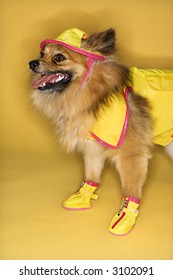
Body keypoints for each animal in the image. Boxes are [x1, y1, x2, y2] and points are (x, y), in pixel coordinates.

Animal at [29, 28, 172, 235]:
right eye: (41, 54)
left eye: (59, 57)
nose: (32, 63)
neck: (91, 91)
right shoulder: (93, 146)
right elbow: (91, 174)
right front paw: (83, 197)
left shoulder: (131, 154)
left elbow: (130, 189)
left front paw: (125, 217)